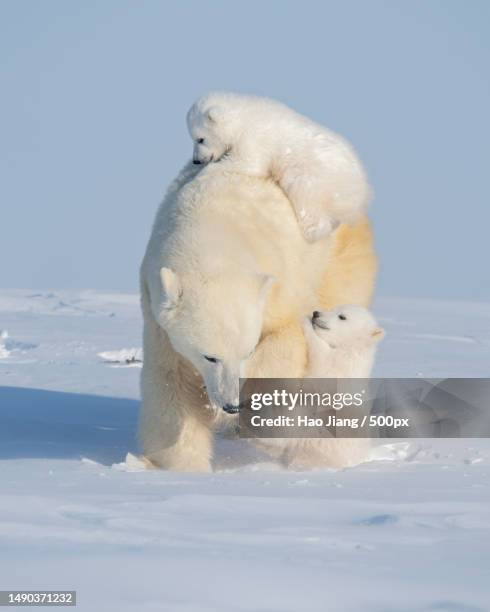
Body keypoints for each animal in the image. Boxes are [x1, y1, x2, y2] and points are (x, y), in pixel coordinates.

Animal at [140, 160, 378, 470]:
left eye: (247, 352)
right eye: (210, 356)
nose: (231, 404)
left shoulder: (281, 284)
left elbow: (283, 345)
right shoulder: (156, 313)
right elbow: (172, 379)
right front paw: (181, 464)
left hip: (334, 254)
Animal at [186, 92, 370, 243]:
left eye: (200, 139)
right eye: (193, 138)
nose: (196, 160)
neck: (241, 117)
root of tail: (361, 191)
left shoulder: (253, 137)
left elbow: (248, 162)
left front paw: (200, 174)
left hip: (316, 177)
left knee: (307, 200)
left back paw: (313, 232)